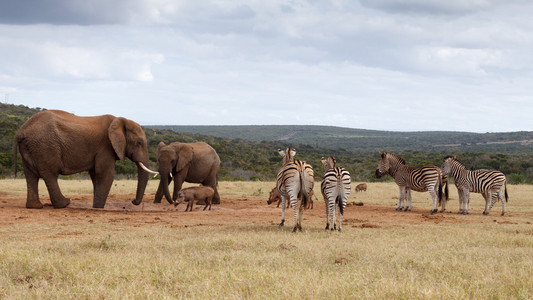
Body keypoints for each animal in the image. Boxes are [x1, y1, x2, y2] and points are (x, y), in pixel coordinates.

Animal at [13, 109, 157, 209]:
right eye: (139, 143)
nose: (133, 201)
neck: (120, 120)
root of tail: (21, 131)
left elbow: (95, 175)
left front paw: (95, 206)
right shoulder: (106, 147)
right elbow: (106, 174)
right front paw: (98, 208)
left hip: (31, 148)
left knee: (31, 175)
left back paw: (35, 206)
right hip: (45, 146)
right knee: (50, 174)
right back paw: (65, 204)